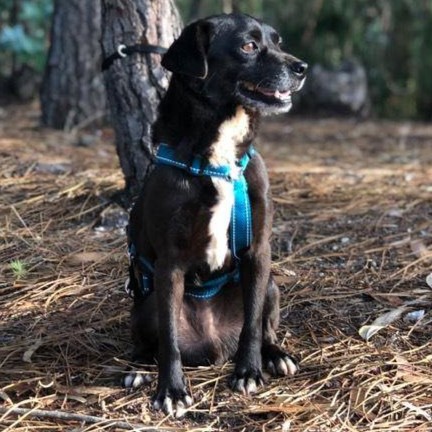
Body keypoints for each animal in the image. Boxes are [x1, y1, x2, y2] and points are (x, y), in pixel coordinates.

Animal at [124, 13, 307, 416]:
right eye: (248, 46)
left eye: (278, 41)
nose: (302, 67)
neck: (219, 161)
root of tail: (214, 343)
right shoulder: (170, 265)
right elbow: (169, 341)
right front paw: (172, 391)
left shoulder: (258, 252)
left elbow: (252, 326)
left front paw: (249, 372)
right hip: (146, 304)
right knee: (152, 341)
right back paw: (139, 367)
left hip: (271, 284)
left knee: (263, 325)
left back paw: (274, 354)